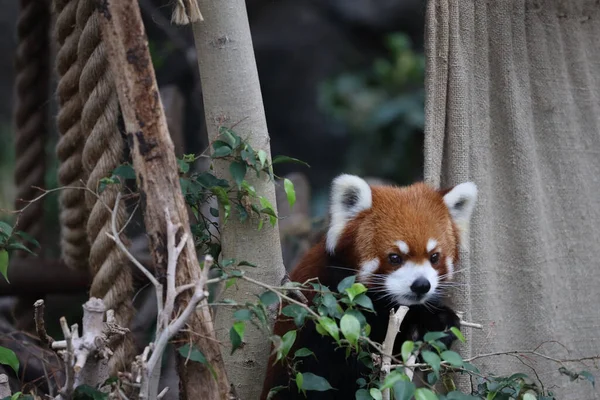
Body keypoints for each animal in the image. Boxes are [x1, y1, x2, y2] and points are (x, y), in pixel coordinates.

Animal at [260, 175, 476, 400]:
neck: (379, 305)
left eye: (434, 257)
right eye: (395, 258)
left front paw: (441, 322)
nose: (421, 285)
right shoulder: (320, 308)